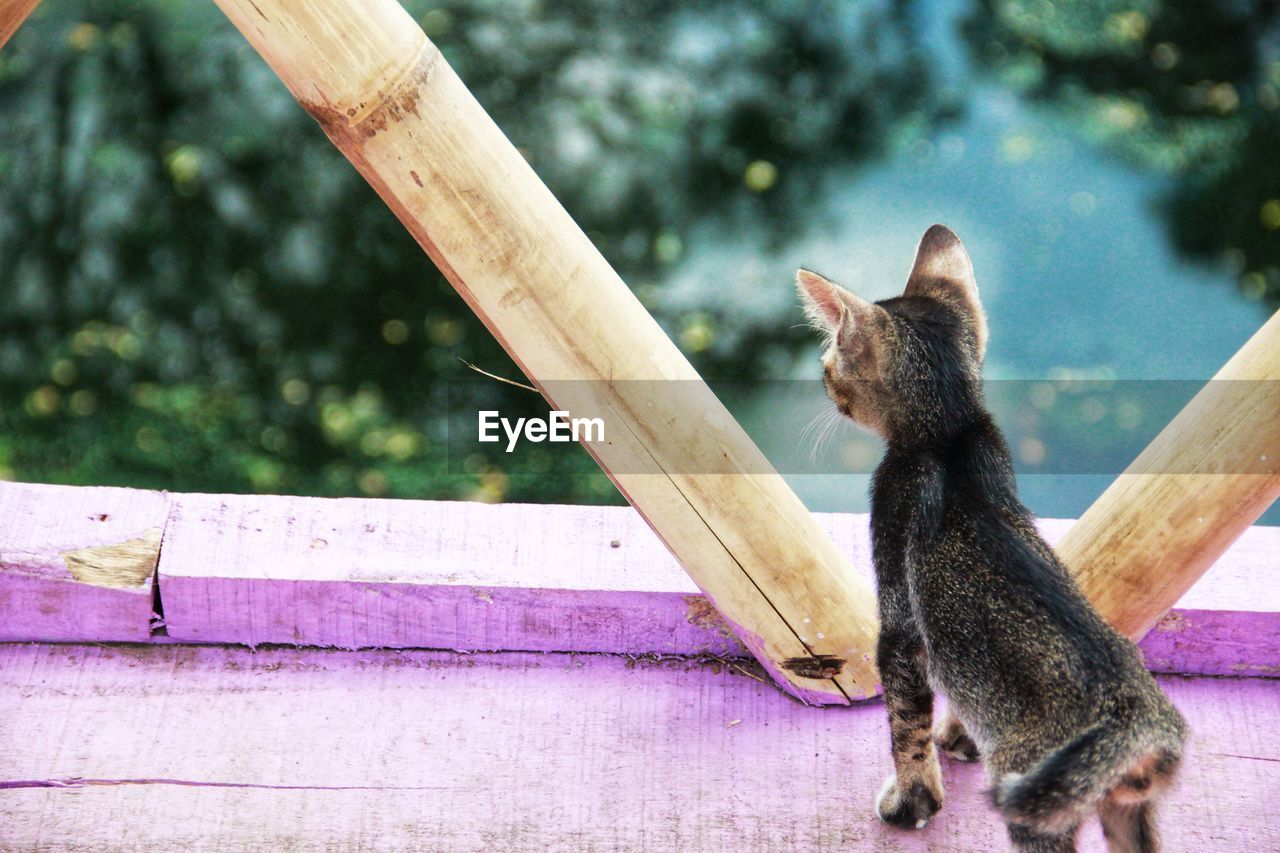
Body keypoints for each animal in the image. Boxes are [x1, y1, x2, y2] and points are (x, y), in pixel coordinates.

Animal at [798, 227, 1187, 850]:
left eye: (830, 363)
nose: (824, 378)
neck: (951, 435)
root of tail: (1144, 726)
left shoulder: (900, 617)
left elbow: (906, 723)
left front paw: (912, 801)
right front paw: (961, 734)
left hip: (1040, 810)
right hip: (1126, 811)